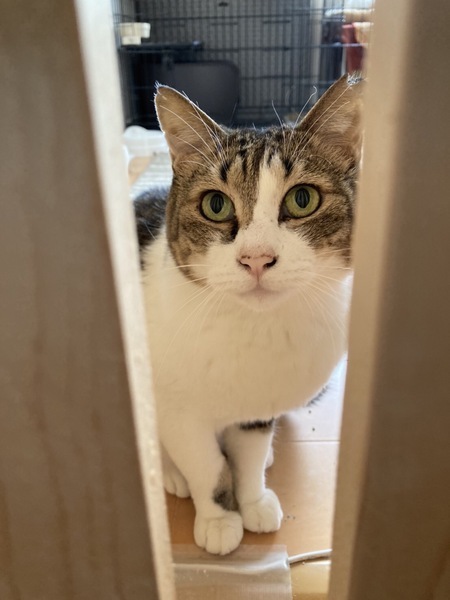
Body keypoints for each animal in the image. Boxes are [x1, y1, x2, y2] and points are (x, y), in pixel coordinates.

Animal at [135, 75, 363, 555]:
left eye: (302, 199)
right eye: (216, 205)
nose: (256, 258)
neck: (255, 331)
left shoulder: (261, 398)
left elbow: (251, 452)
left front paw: (253, 497)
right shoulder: (178, 410)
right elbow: (205, 463)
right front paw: (219, 518)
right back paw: (171, 473)